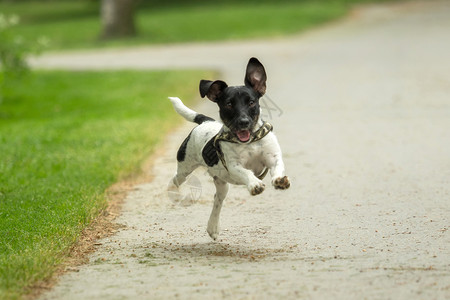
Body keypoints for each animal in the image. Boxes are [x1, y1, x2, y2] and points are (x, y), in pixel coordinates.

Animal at [167, 57, 290, 240]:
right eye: (229, 104)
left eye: (251, 102)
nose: (244, 122)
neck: (249, 143)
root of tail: (205, 121)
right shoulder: (234, 166)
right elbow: (247, 173)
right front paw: (255, 184)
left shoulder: (273, 157)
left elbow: (278, 168)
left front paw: (279, 180)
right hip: (185, 168)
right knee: (175, 179)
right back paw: (173, 191)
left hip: (222, 185)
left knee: (217, 201)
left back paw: (212, 227)